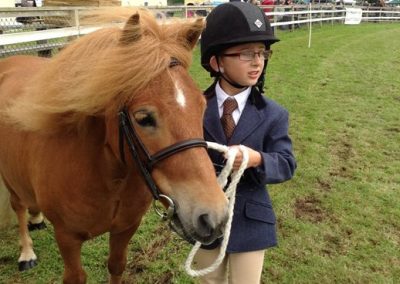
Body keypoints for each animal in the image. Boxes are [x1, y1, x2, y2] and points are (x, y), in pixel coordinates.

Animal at [0, 10, 228, 282]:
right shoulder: (67, 237)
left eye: (201, 106)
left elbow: (117, 265)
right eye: (143, 118)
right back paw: (26, 252)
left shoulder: (125, 228)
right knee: (18, 206)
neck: (106, 174)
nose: (214, 217)